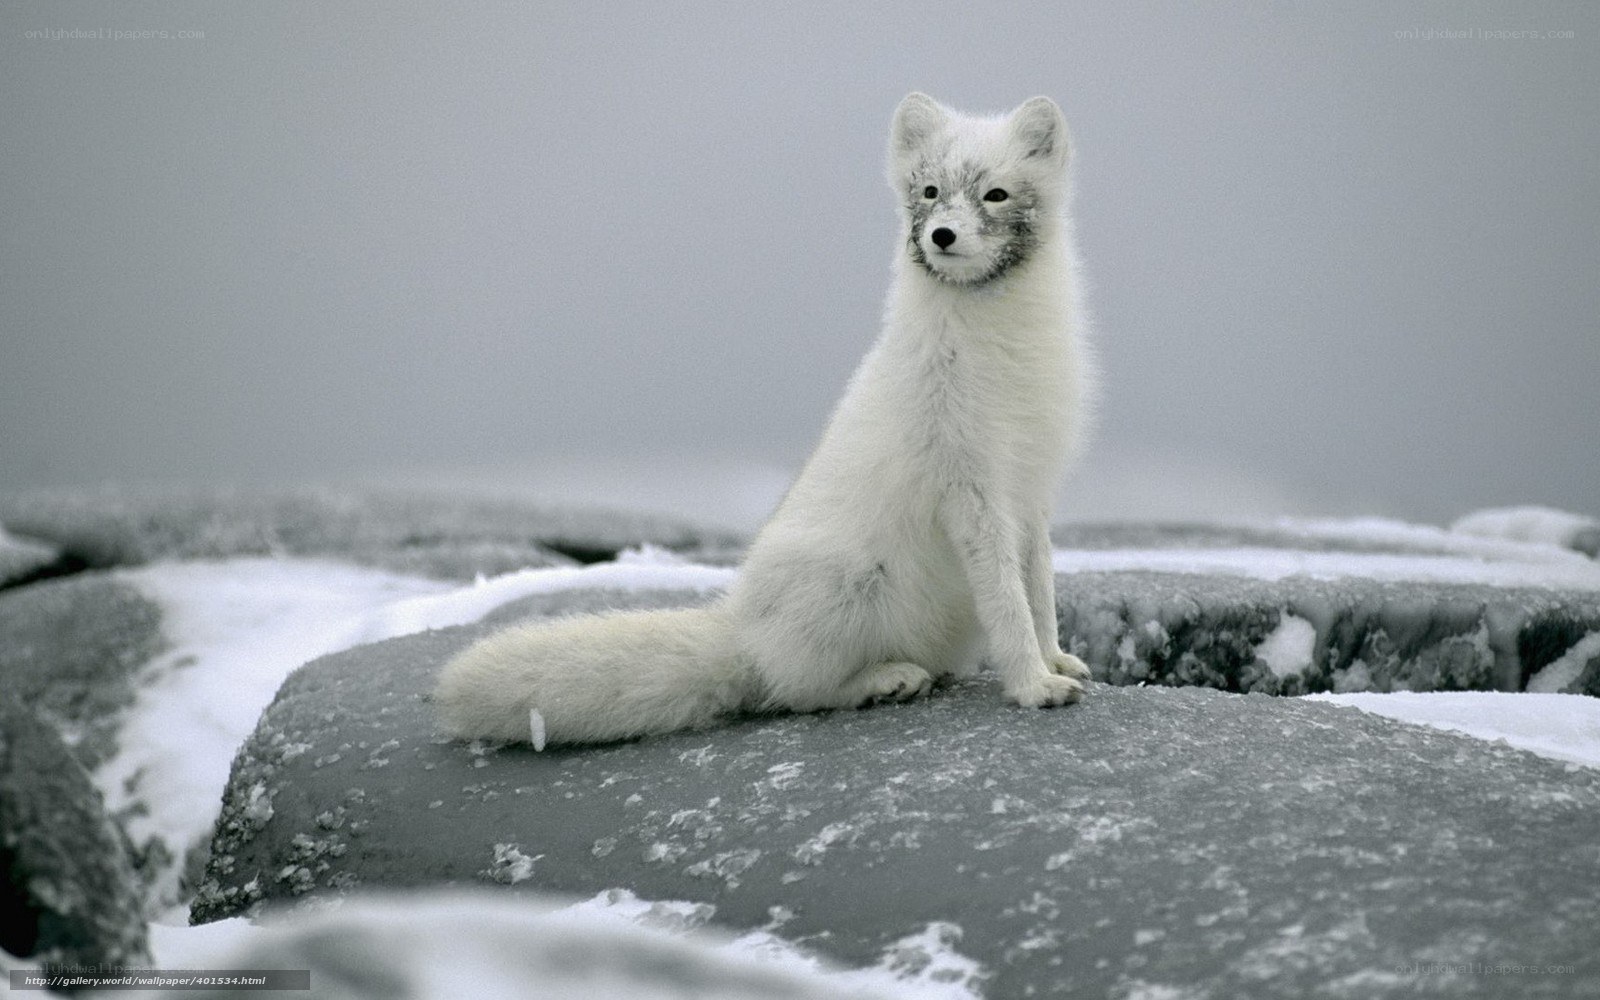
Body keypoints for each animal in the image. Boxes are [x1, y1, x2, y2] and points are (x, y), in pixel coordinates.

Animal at [435, 93, 1094, 749]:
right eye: (930, 191)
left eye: (995, 195)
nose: (942, 234)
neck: (1002, 349)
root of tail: (742, 632)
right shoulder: (970, 489)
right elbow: (1007, 601)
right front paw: (1033, 685)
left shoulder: (1031, 490)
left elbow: (1039, 590)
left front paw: (1055, 659)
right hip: (846, 586)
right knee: (795, 690)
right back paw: (885, 680)